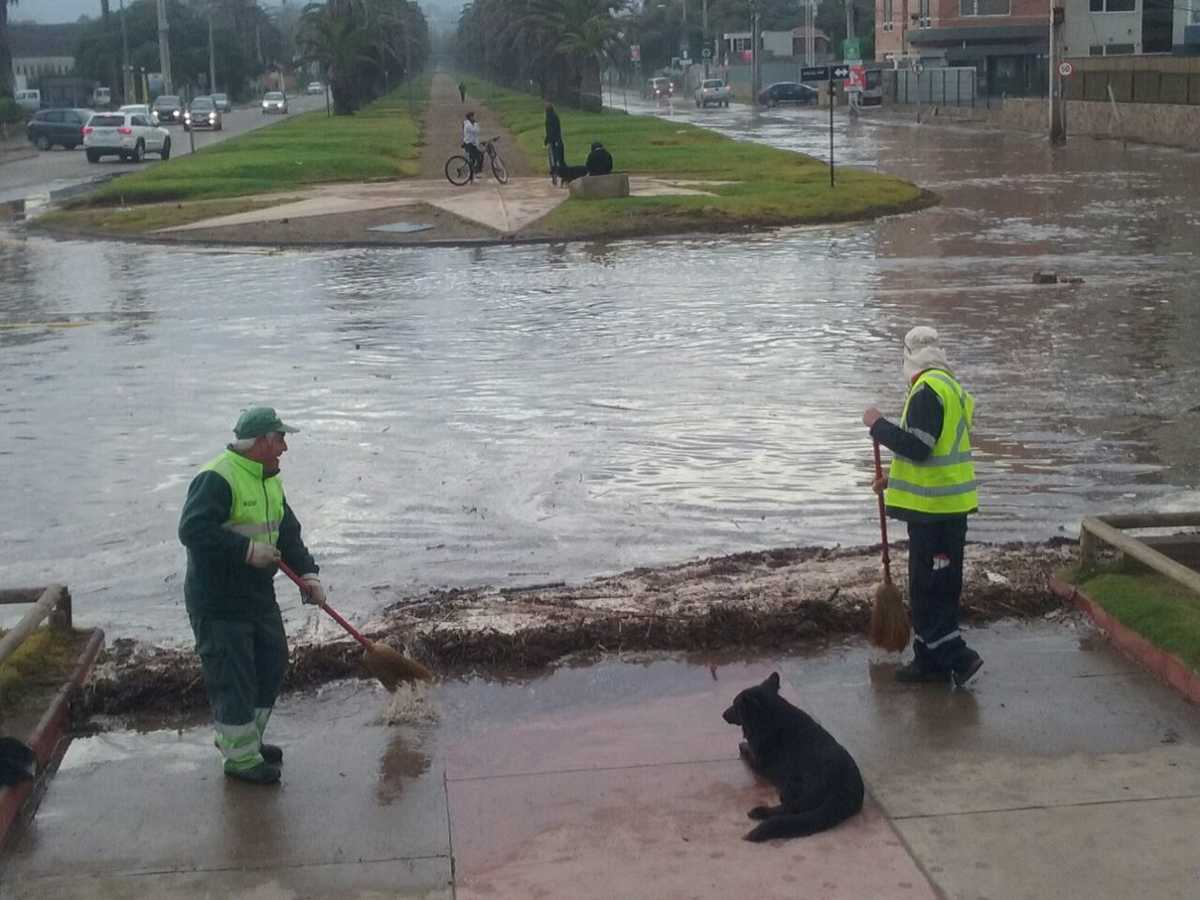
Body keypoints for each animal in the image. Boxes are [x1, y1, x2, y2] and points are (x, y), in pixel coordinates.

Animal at [720, 672, 864, 844]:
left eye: (735, 706)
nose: (722, 715)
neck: (772, 716)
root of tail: (843, 789)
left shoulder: (758, 762)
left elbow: (746, 751)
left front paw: (742, 746)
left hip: (794, 787)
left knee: (790, 809)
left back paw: (760, 812)